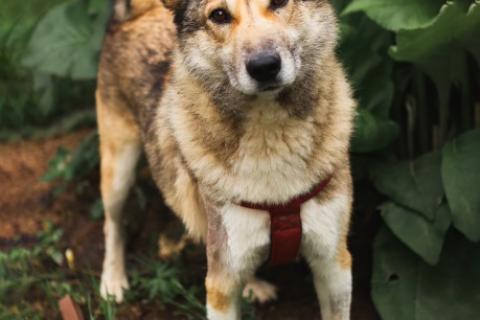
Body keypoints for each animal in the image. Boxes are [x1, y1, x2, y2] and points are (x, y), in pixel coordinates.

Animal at [95, 0, 354, 318]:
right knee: (112, 223)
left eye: (280, 3)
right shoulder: (221, 283)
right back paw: (112, 279)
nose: (264, 66)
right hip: (118, 171)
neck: (270, 135)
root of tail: (136, 15)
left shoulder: (334, 264)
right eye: (219, 14)